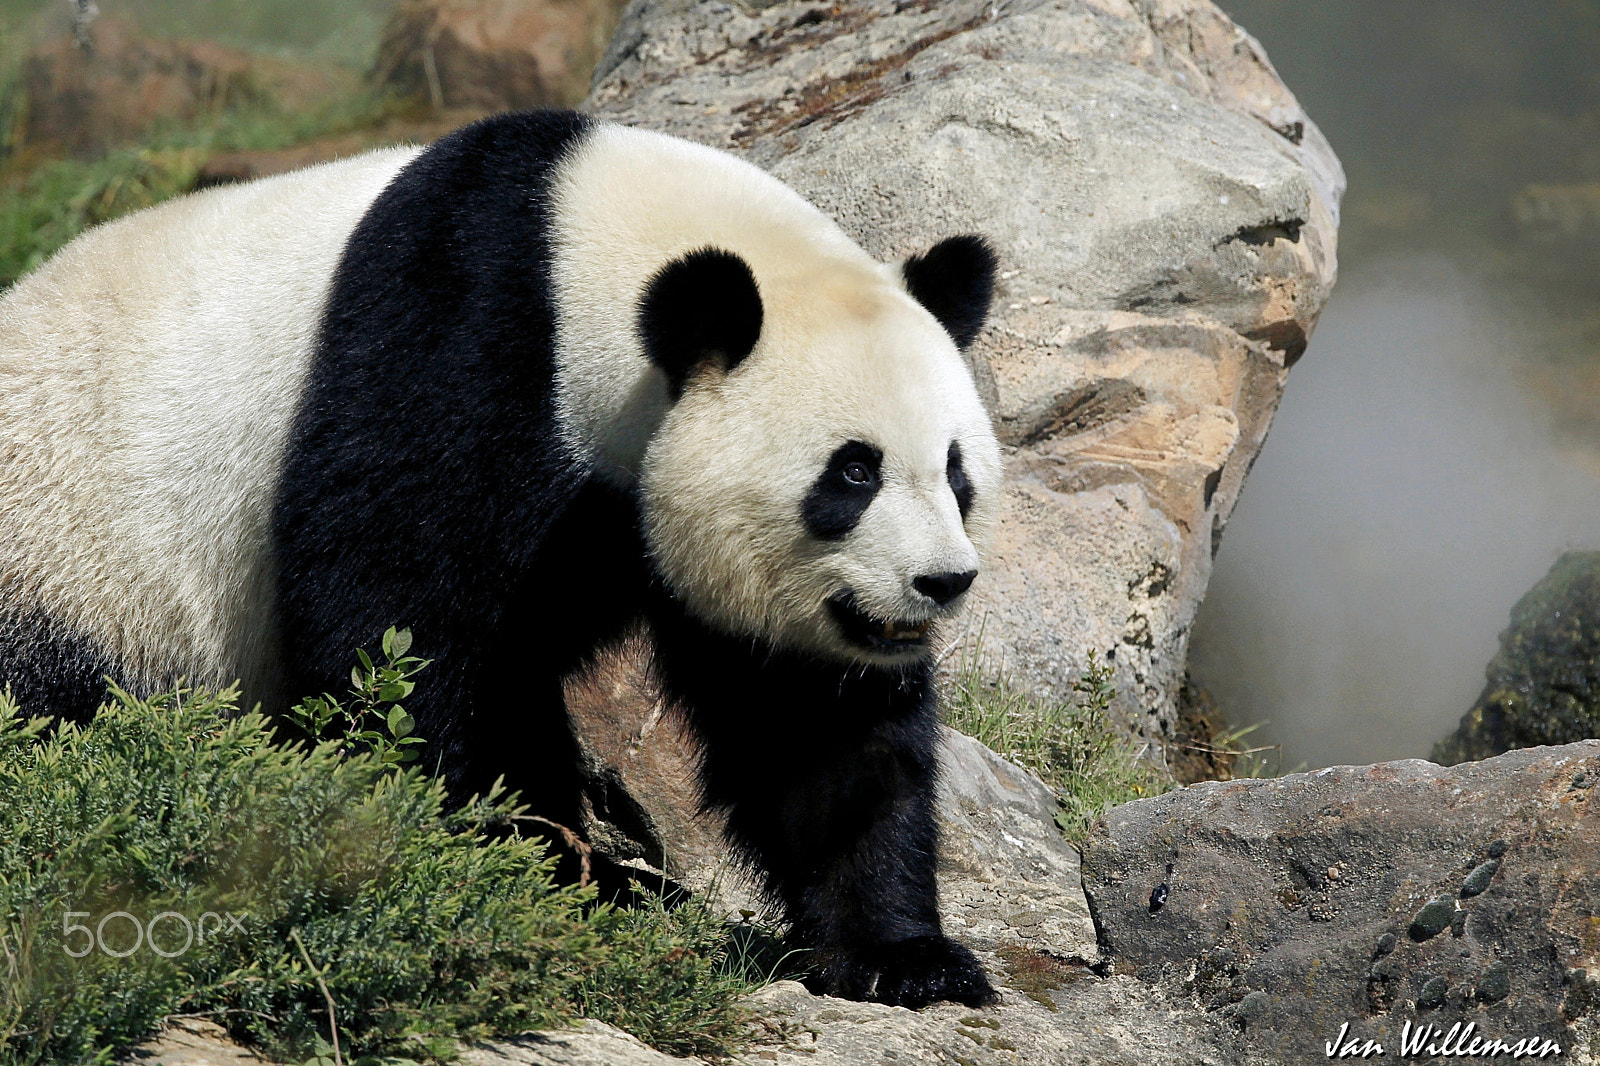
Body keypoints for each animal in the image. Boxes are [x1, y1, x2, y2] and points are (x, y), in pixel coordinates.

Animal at [0, 110, 1003, 1008]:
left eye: (957, 473)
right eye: (852, 473)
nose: (940, 584)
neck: (586, 251)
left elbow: (810, 720)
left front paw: (898, 957)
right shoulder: (458, 339)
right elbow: (396, 623)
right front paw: (500, 863)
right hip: (74, 558)